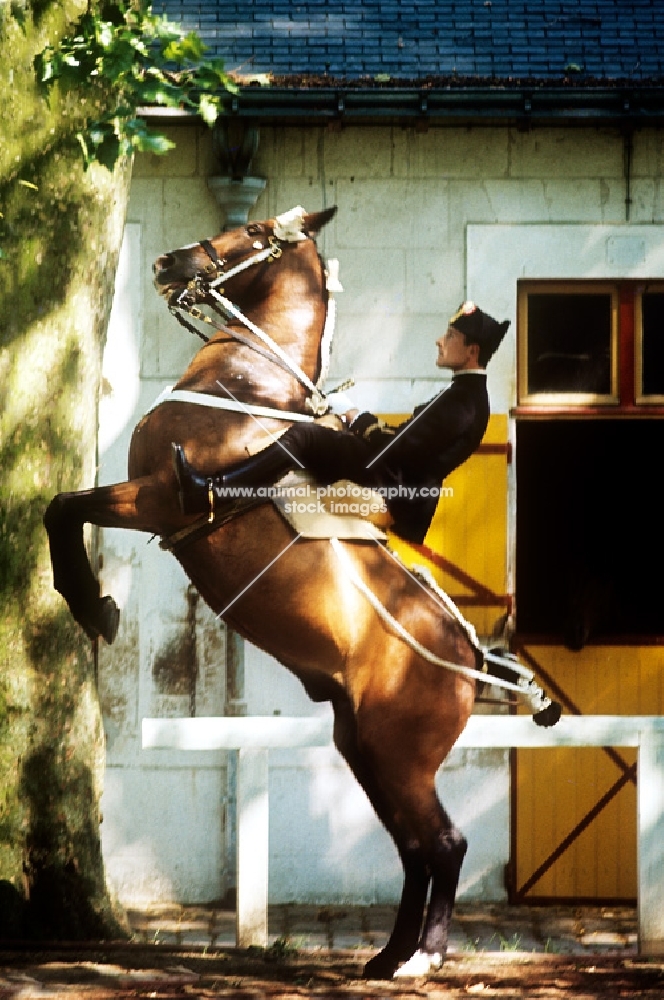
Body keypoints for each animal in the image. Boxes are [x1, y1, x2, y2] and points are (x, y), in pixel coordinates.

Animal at [44, 203, 544, 976]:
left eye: (251, 232)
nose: (168, 264)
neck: (244, 387)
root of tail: (472, 657)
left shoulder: (157, 498)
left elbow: (65, 507)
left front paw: (92, 605)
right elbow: (62, 507)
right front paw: (91, 602)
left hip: (400, 757)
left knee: (445, 844)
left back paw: (423, 955)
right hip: (364, 747)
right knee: (415, 848)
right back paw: (387, 955)